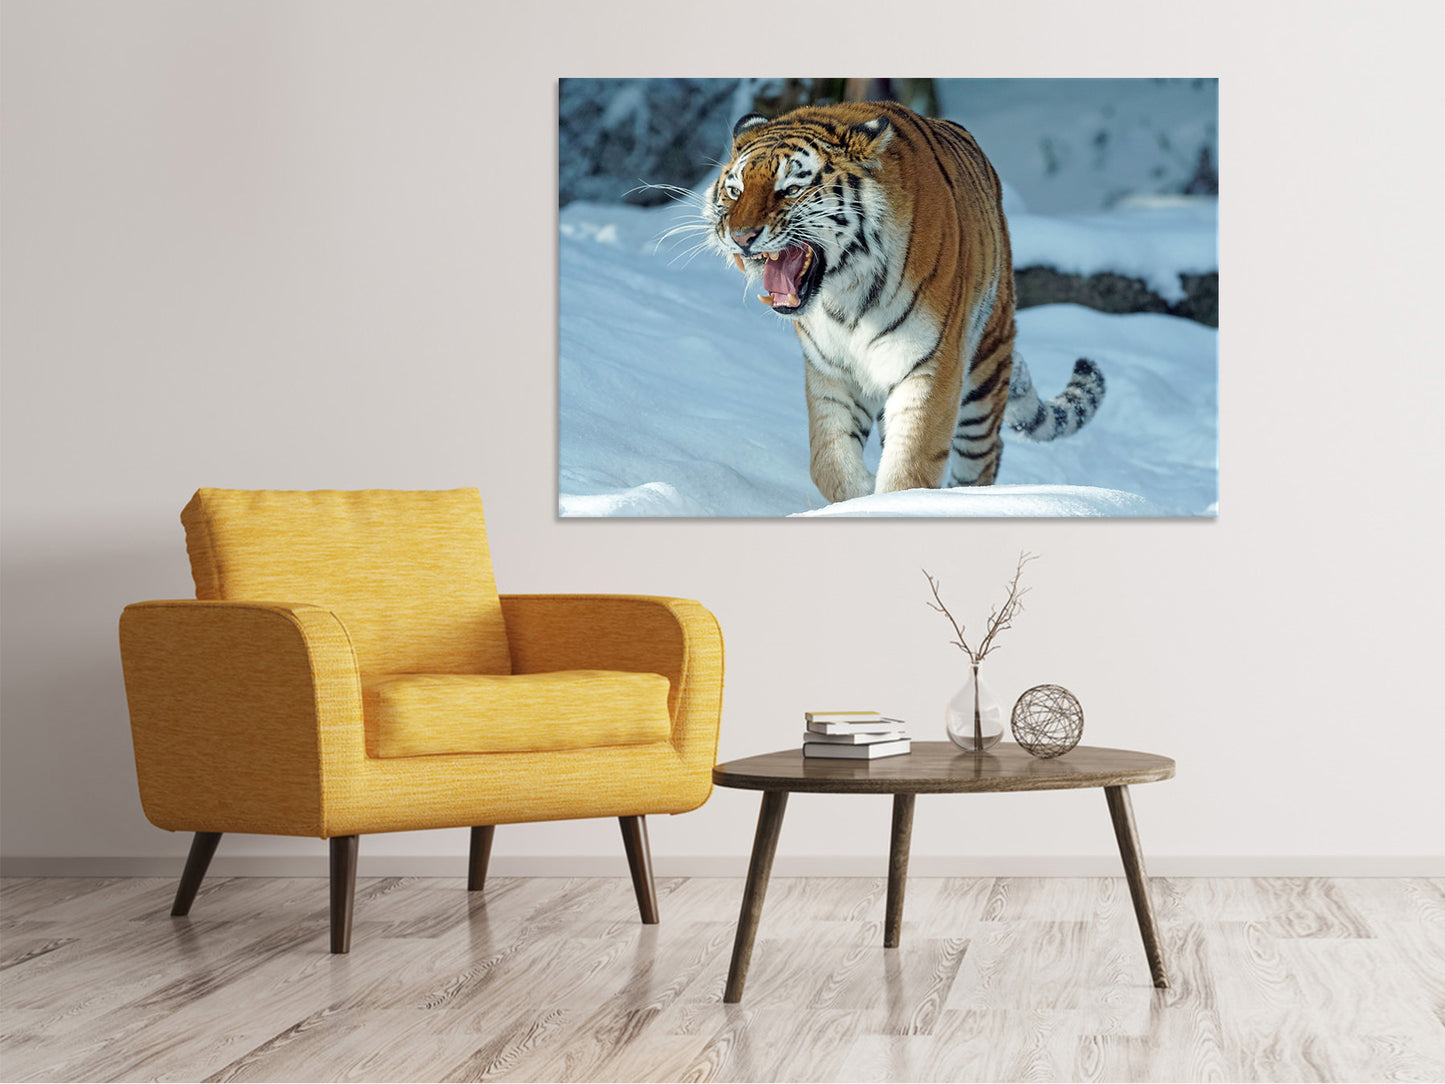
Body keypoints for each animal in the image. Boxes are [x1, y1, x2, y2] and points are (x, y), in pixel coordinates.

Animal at [703, 100, 1105, 503]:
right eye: (735, 191)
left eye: (790, 189)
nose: (740, 237)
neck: (844, 294)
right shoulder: (831, 372)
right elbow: (828, 462)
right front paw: (861, 496)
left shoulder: (930, 364)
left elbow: (911, 465)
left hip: (986, 367)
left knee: (984, 455)